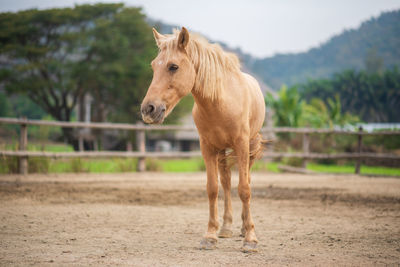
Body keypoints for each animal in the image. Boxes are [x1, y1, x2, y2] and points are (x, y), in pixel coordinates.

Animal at [141, 27, 266, 253]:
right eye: (154, 66)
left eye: (173, 66)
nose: (148, 109)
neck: (221, 102)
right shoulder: (207, 147)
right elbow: (213, 189)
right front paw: (210, 235)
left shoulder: (242, 145)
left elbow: (245, 189)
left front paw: (250, 239)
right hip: (222, 151)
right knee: (226, 182)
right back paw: (226, 227)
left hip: (249, 147)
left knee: (246, 181)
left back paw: (243, 227)